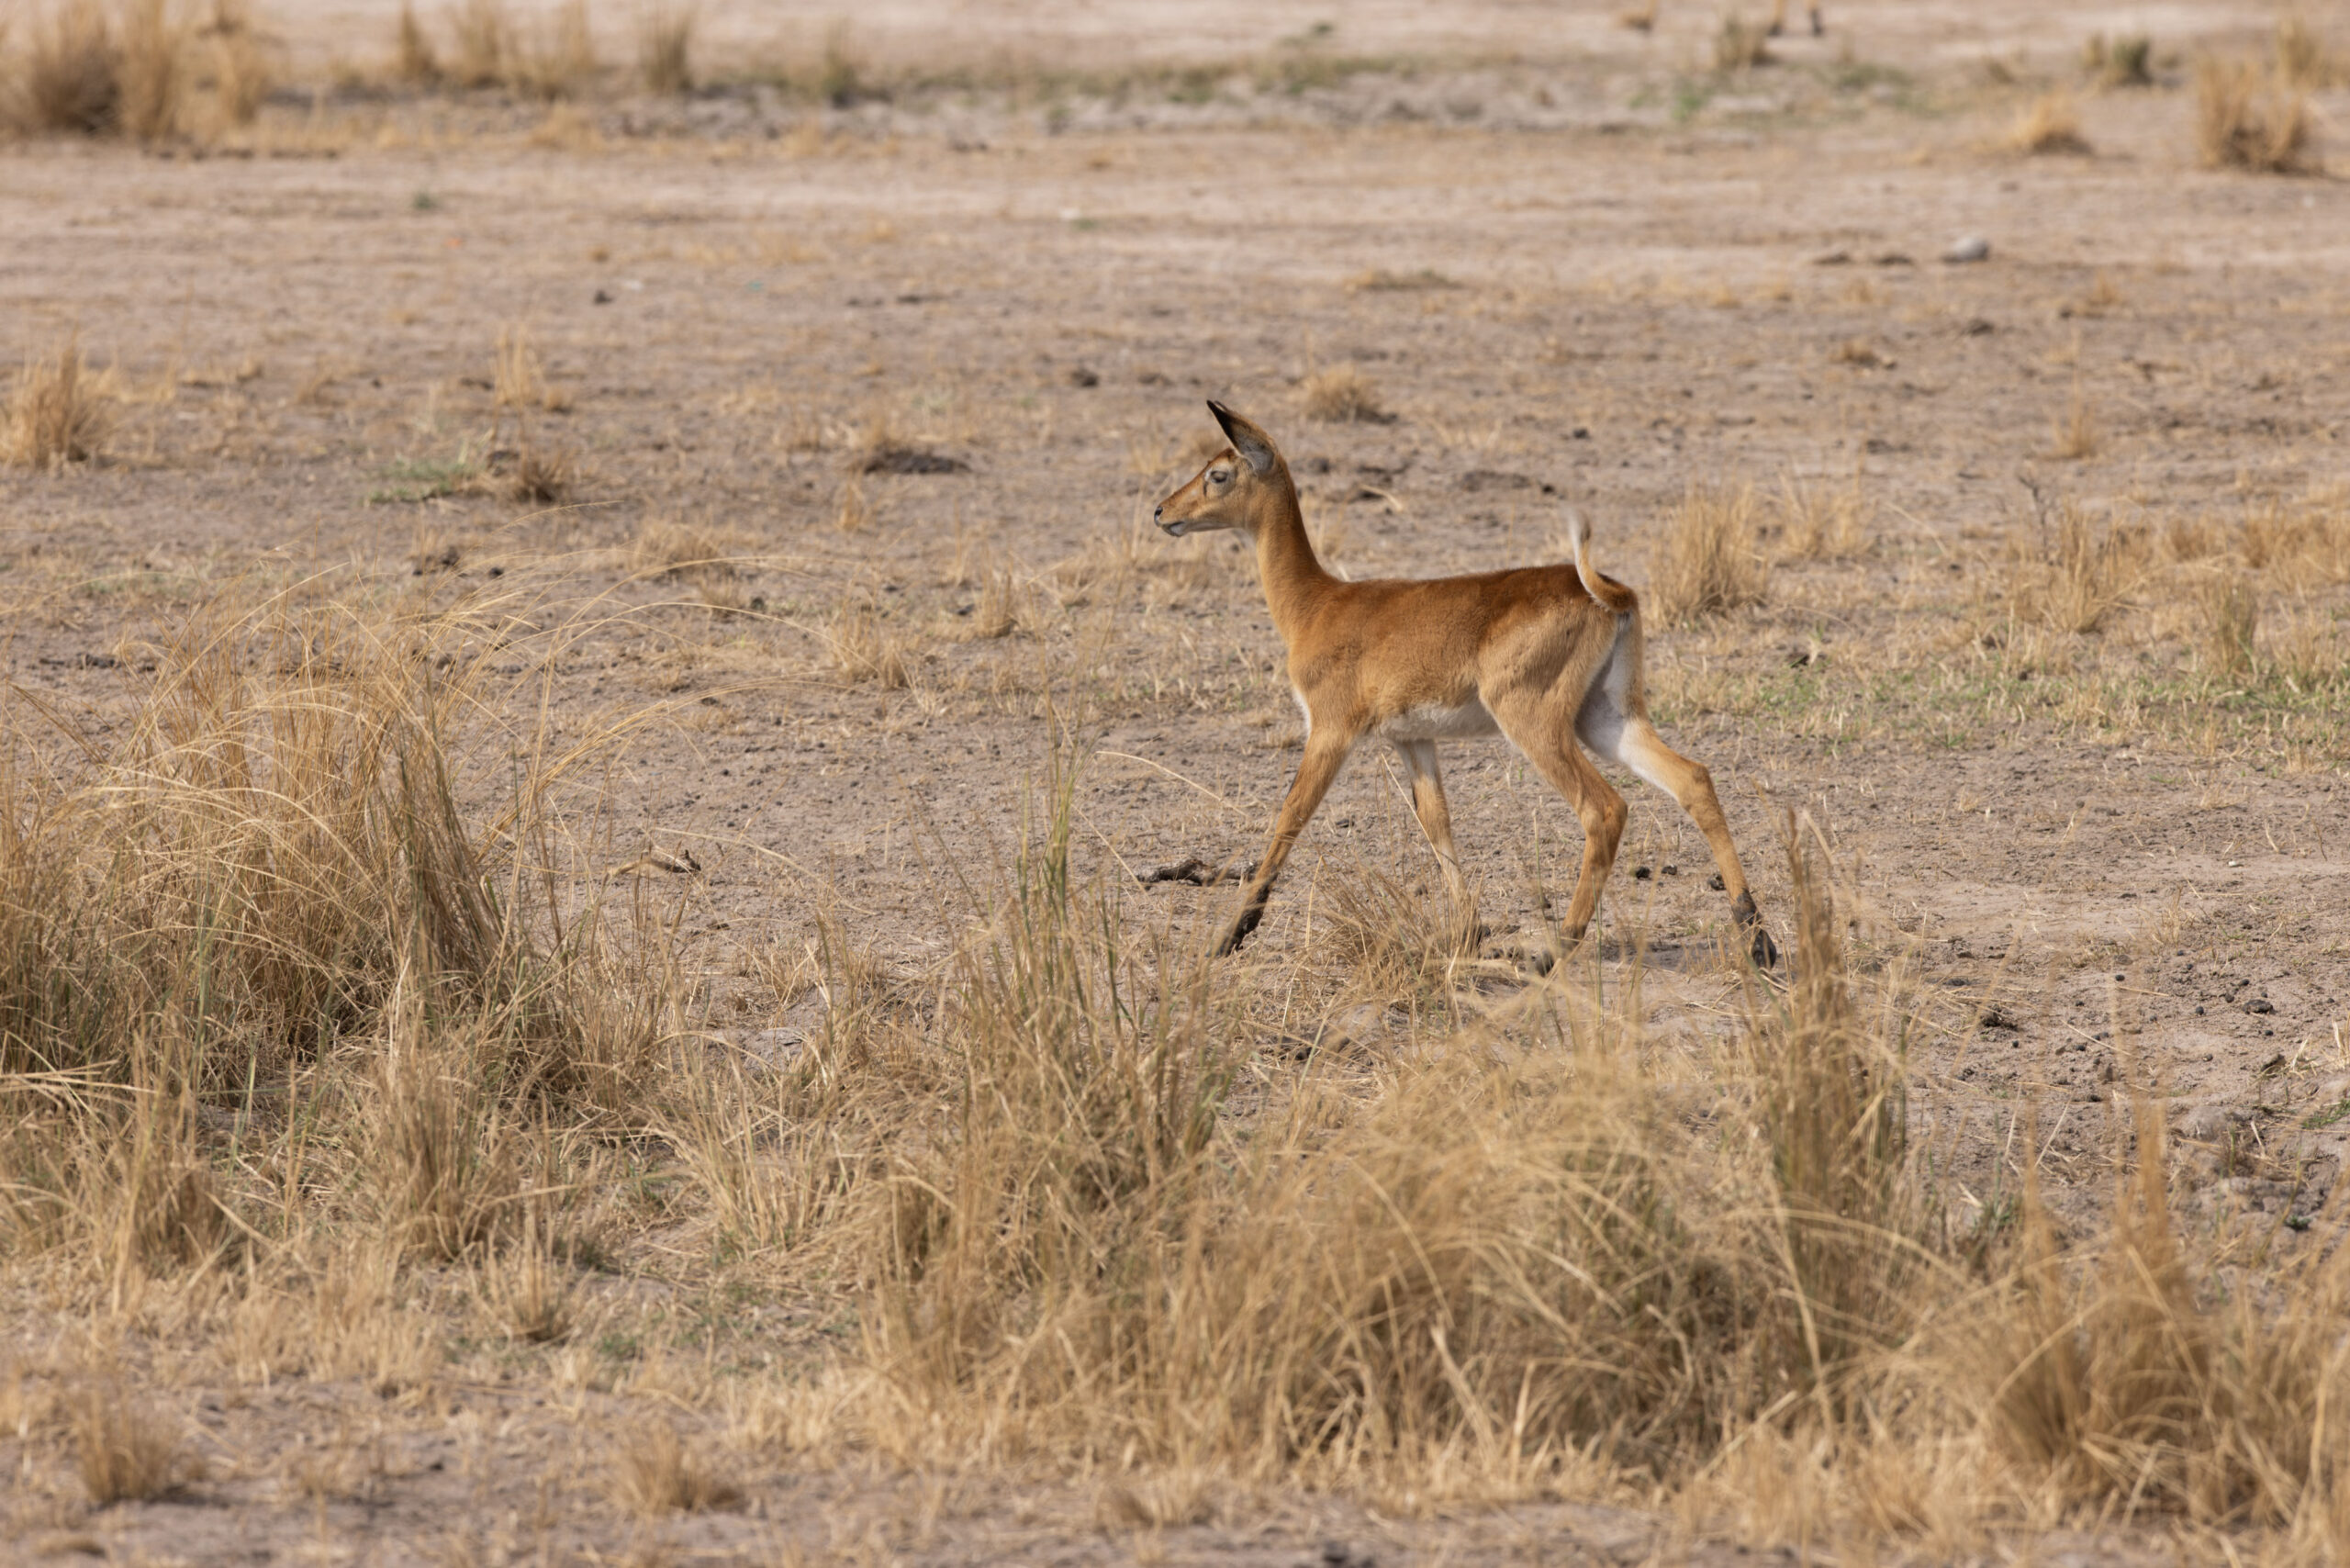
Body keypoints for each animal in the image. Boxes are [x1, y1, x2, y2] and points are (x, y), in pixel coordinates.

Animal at [1151, 401, 1777, 969]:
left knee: (1604, 809)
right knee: (1692, 778)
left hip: (1531, 720)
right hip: (1605, 718)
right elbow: (1436, 821)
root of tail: (1612, 594)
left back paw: (1554, 950)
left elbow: (1289, 817)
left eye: (1218, 473)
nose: (1161, 512)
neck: (1317, 605)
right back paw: (1758, 939)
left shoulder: (1330, 731)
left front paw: (1228, 937)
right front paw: (1468, 933)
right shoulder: (1413, 739)